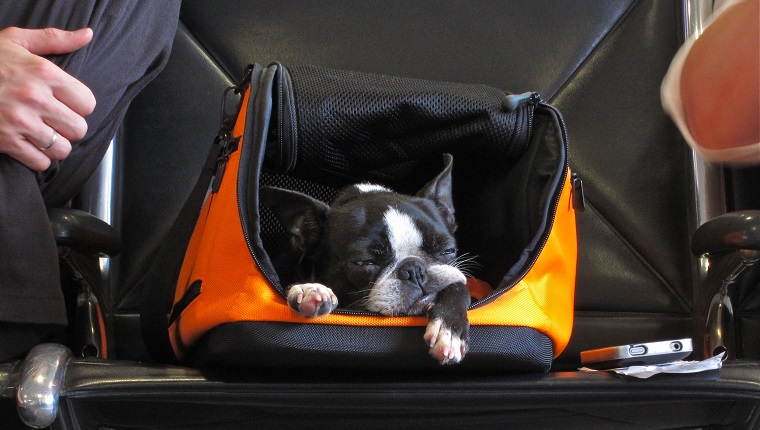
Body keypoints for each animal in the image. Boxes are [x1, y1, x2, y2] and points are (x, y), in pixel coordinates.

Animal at [264, 154, 472, 362]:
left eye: (448, 250)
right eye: (364, 262)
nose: (414, 269)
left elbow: (458, 285)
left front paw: (449, 329)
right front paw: (309, 289)